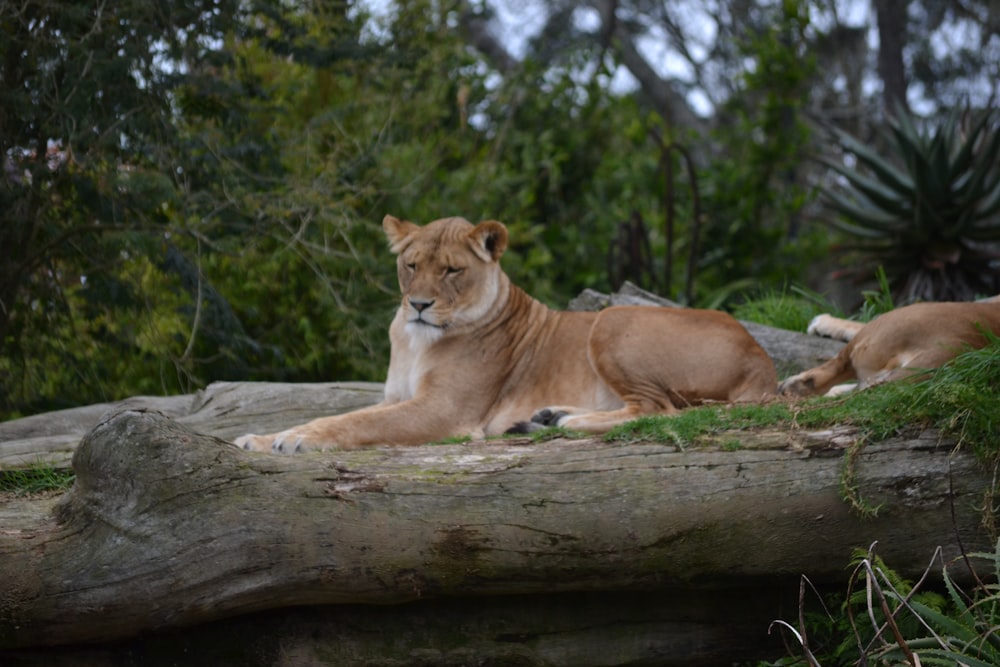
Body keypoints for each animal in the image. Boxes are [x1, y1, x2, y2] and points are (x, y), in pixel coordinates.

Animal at [238, 215, 776, 454]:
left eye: (452, 270)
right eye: (411, 265)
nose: (419, 304)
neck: (414, 340)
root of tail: (762, 359)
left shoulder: (445, 411)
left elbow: (354, 423)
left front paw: (294, 440)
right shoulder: (396, 396)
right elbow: (348, 414)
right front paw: (261, 438)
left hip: (611, 319)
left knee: (658, 410)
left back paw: (565, 423)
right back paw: (545, 417)